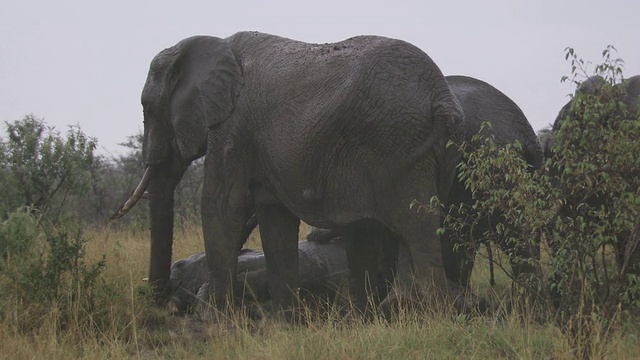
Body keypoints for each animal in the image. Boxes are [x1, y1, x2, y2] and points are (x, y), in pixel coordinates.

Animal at [112, 31, 468, 314]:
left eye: (146, 107)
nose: (162, 303)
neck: (215, 44)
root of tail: (439, 97)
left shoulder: (234, 125)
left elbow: (222, 206)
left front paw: (212, 319)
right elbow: (274, 217)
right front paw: (284, 323)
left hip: (396, 141)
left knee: (416, 228)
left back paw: (431, 316)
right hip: (438, 150)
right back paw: (401, 310)